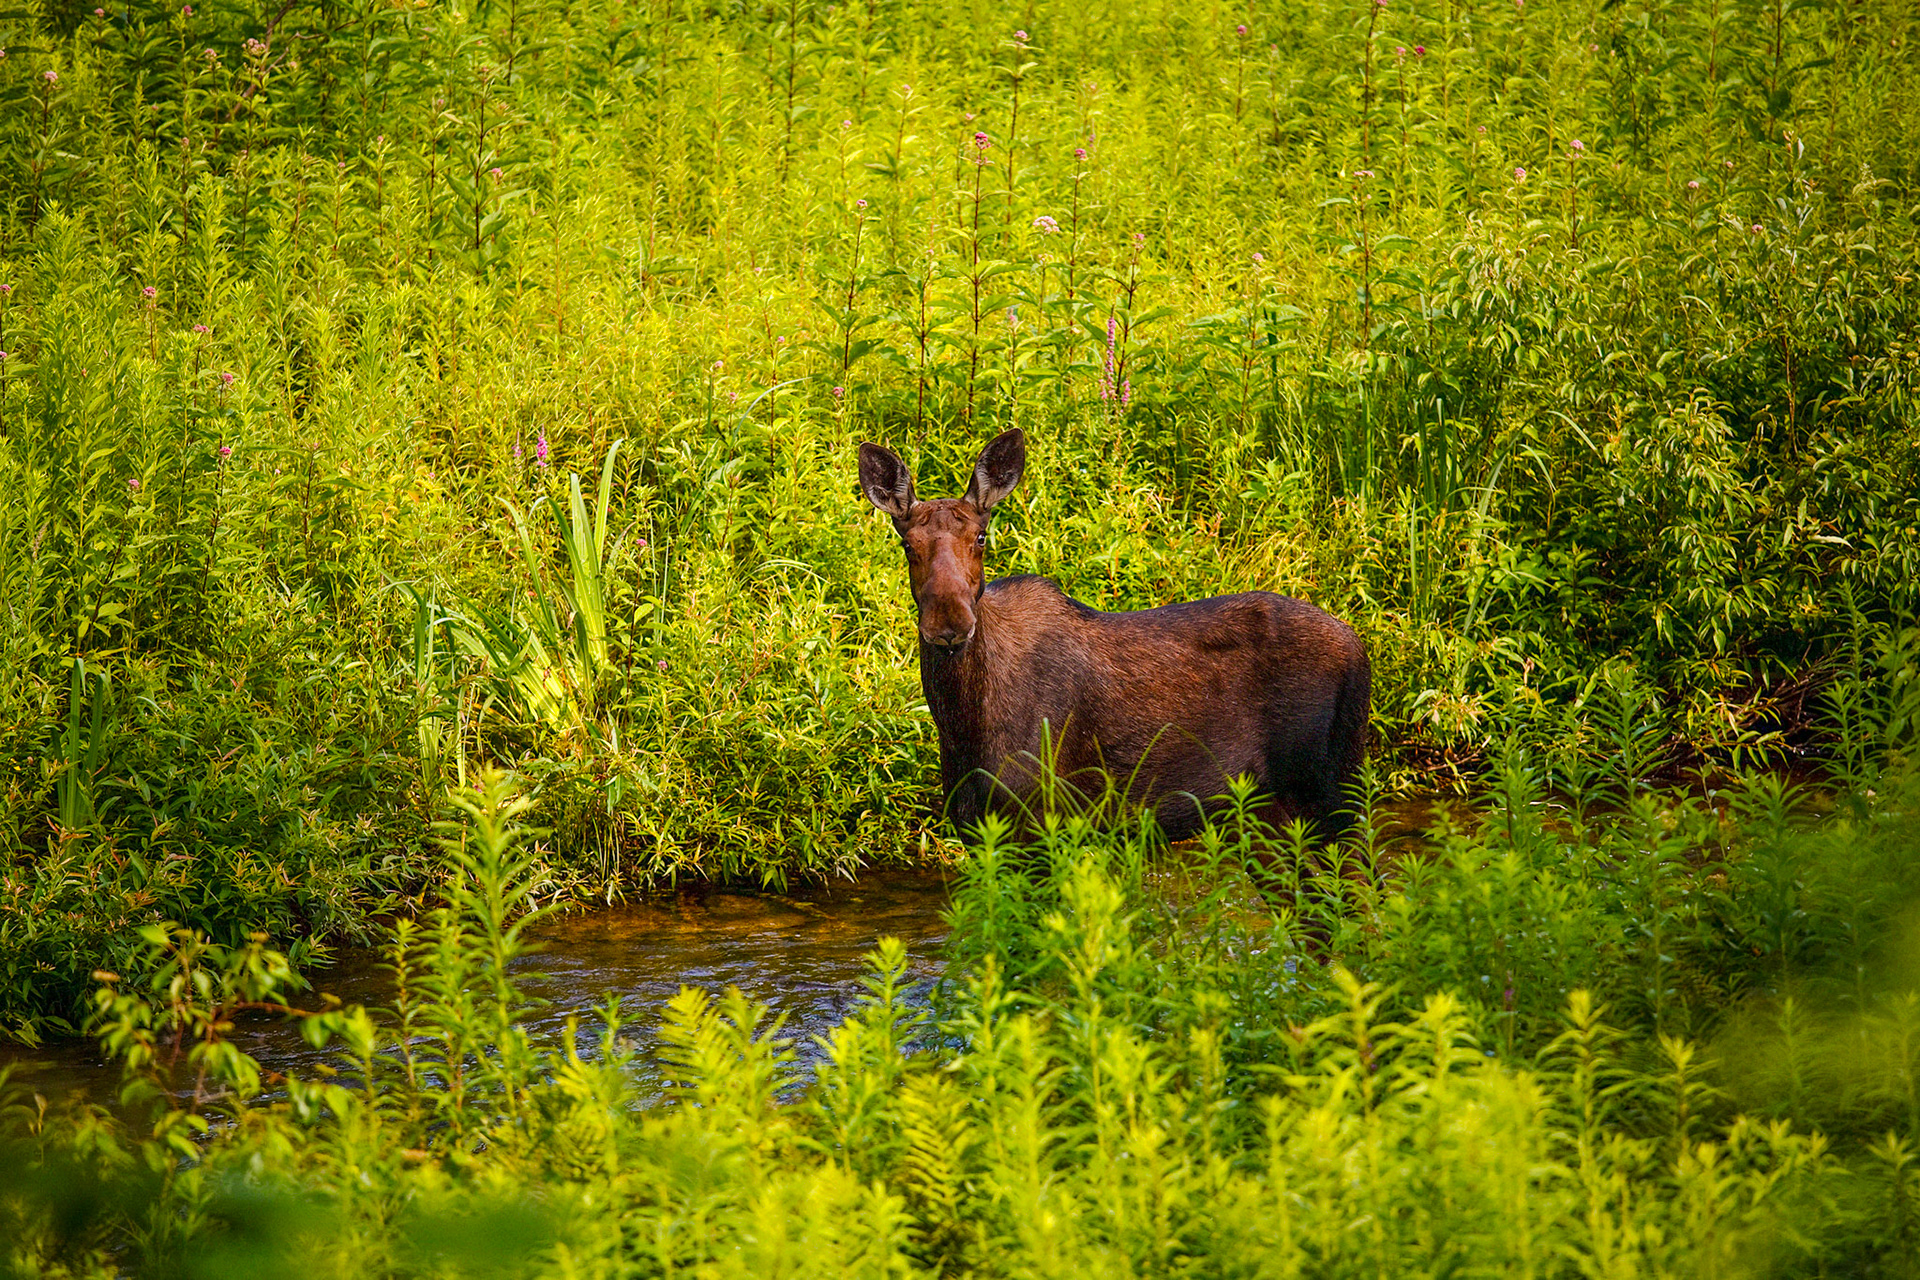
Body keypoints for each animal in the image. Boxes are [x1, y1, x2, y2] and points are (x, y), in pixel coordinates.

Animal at [858, 428, 1371, 848]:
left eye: (982, 537)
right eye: (906, 544)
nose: (948, 624)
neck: (962, 725)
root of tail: (1359, 647)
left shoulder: (1042, 824)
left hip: (1333, 792)